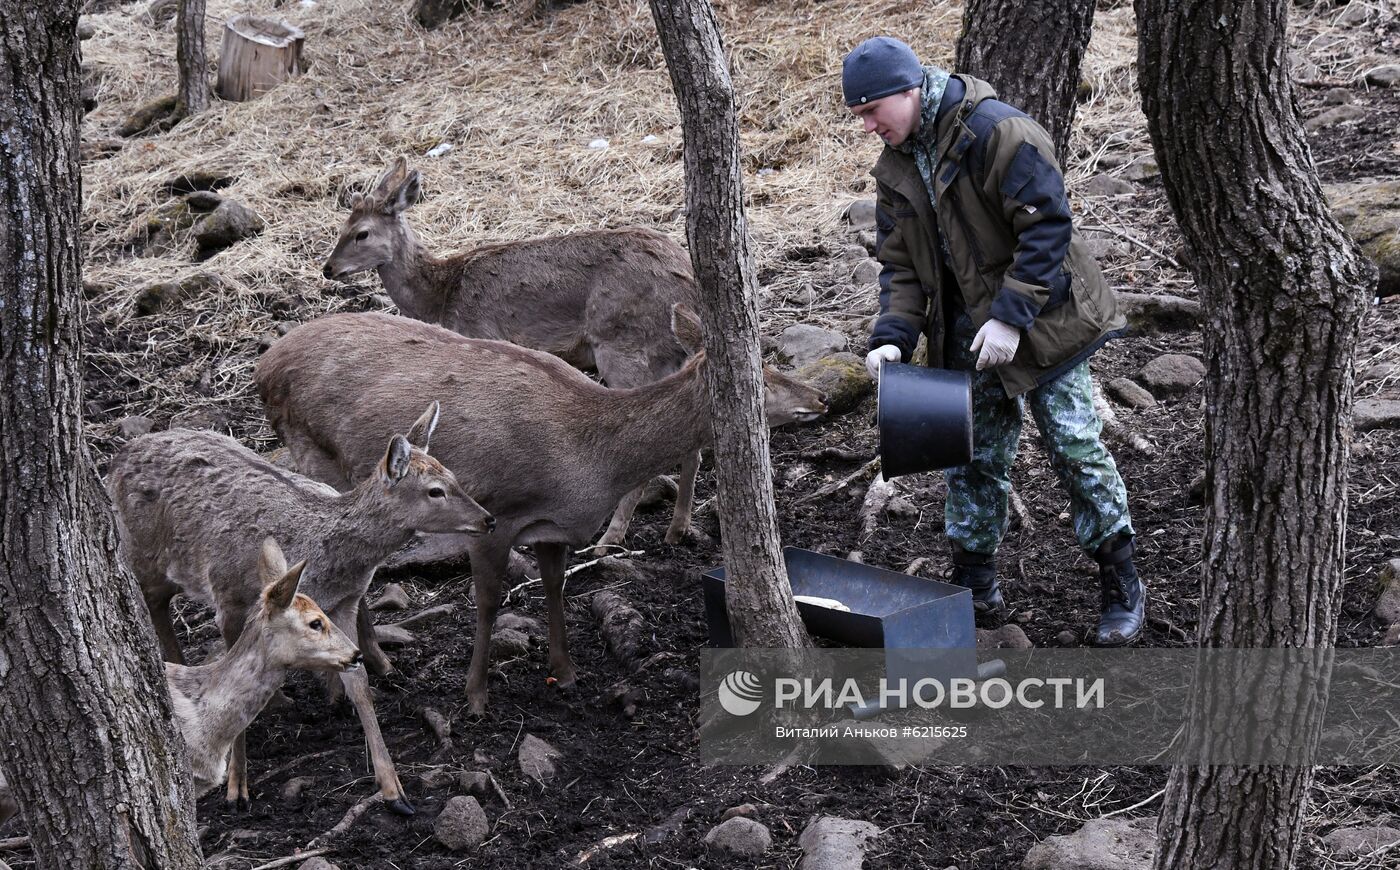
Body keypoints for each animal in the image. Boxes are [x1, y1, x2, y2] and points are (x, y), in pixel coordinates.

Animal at [257, 308, 823, 717]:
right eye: (760, 378)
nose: (818, 396)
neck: (586, 466)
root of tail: (262, 367)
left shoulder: (554, 527)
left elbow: (555, 586)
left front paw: (566, 672)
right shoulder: (493, 514)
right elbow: (488, 601)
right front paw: (476, 695)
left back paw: (373, 658)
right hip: (318, 456)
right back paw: (372, 660)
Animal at [320, 156, 733, 549]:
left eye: (361, 233)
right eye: (342, 225)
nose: (328, 268)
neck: (442, 297)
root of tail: (688, 283)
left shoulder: (482, 335)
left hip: (623, 347)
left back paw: (609, 539)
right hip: (670, 354)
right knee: (692, 443)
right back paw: (677, 530)